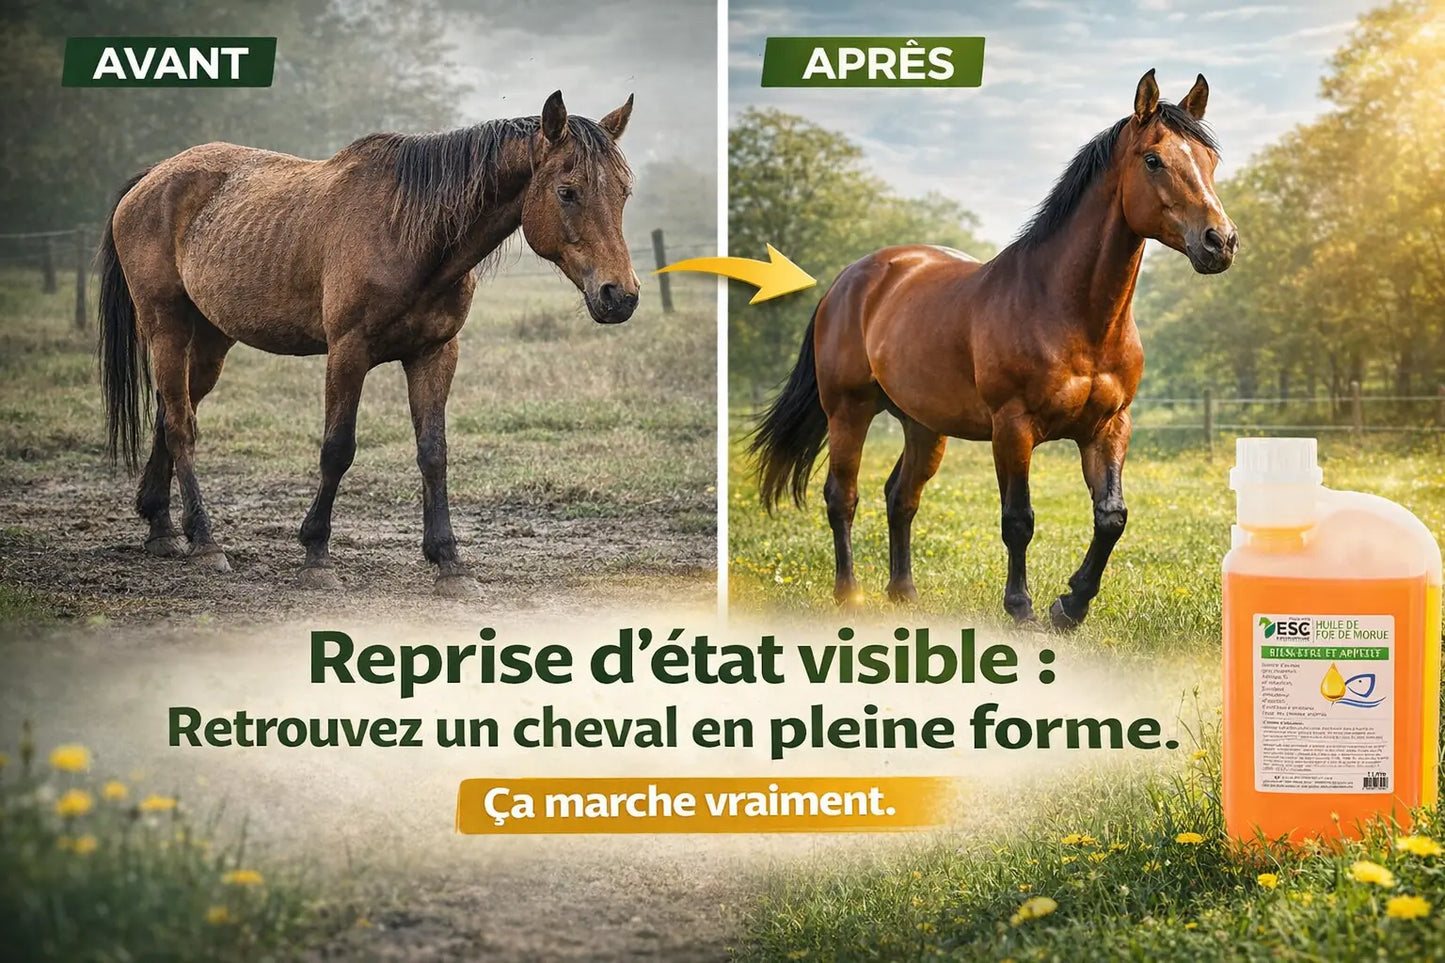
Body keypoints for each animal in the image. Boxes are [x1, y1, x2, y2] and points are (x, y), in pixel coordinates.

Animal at [97, 91, 639, 598]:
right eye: (567, 192)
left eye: (624, 193)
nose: (621, 296)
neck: (409, 232)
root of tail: (153, 177)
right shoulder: (347, 352)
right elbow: (338, 449)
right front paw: (316, 556)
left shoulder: (434, 354)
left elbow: (433, 453)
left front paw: (450, 564)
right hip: (167, 327)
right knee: (182, 426)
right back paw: (205, 542)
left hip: (211, 341)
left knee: (171, 413)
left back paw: (162, 529)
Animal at [750, 70, 1236, 630]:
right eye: (1153, 159)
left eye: (1210, 160)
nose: (1220, 241)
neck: (1070, 311)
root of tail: (848, 280)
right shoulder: (1013, 427)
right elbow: (1018, 519)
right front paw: (1022, 608)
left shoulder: (1110, 427)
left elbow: (1111, 517)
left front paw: (1070, 605)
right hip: (849, 411)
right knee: (842, 497)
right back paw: (850, 595)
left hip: (924, 424)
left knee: (901, 497)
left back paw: (904, 593)